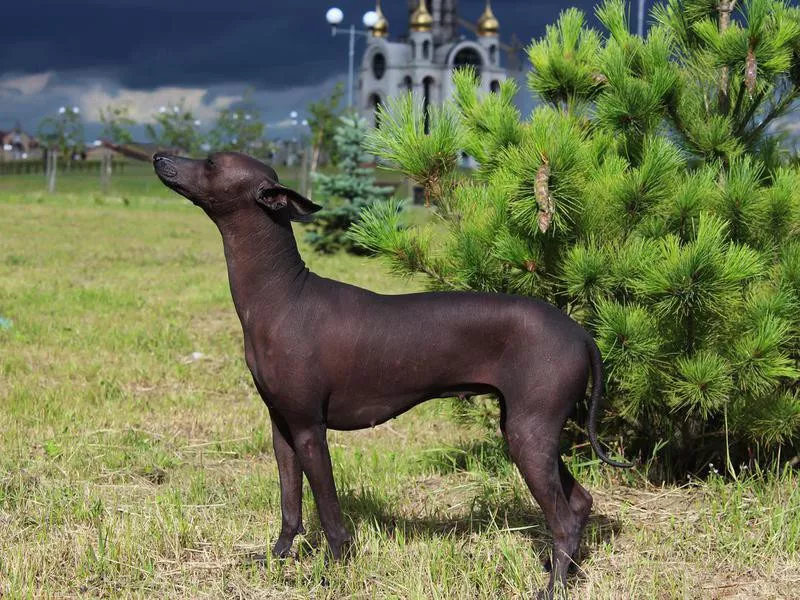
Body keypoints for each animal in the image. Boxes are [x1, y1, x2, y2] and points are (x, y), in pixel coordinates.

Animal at [155, 151, 632, 600]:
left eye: (212, 163)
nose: (159, 157)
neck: (283, 293)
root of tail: (580, 333)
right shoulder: (282, 428)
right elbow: (290, 505)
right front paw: (277, 559)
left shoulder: (310, 430)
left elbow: (329, 511)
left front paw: (332, 570)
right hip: (532, 432)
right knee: (580, 501)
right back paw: (563, 570)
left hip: (528, 434)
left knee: (564, 516)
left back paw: (553, 587)